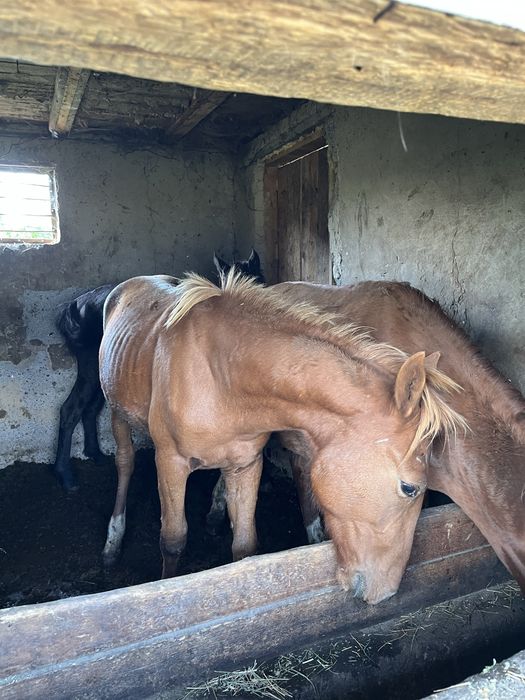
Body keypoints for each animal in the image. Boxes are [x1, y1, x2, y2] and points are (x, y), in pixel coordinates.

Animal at [53, 250, 264, 492]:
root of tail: (75, 305)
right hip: (89, 369)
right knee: (70, 409)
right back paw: (65, 475)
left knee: (90, 409)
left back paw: (95, 454)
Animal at [99, 271, 464, 604]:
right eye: (410, 488)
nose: (385, 593)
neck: (221, 378)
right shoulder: (170, 462)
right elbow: (173, 539)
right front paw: (165, 586)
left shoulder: (246, 465)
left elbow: (245, 545)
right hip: (117, 412)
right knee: (125, 463)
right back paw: (112, 541)